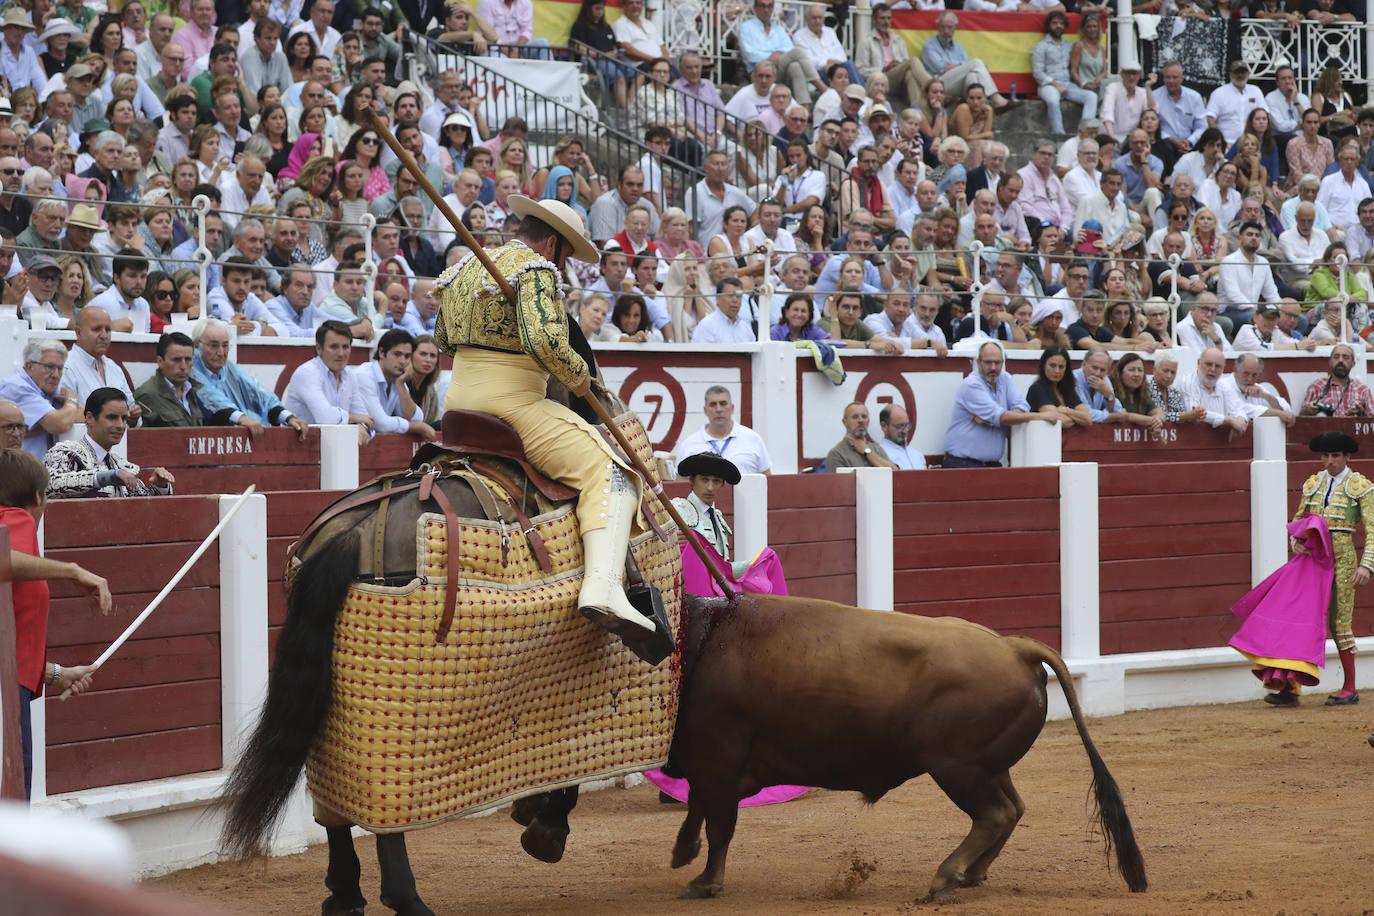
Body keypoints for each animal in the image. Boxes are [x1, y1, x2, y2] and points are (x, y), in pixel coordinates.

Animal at [665, 596, 1148, 900]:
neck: (703, 639)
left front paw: (705, 883)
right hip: (989, 766)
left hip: (957, 767)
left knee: (996, 813)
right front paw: (682, 852)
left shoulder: (718, 761)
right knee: (1014, 808)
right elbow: (698, 806)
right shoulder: (708, 765)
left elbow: (719, 824)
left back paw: (945, 878)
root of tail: (1015, 648)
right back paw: (972, 873)